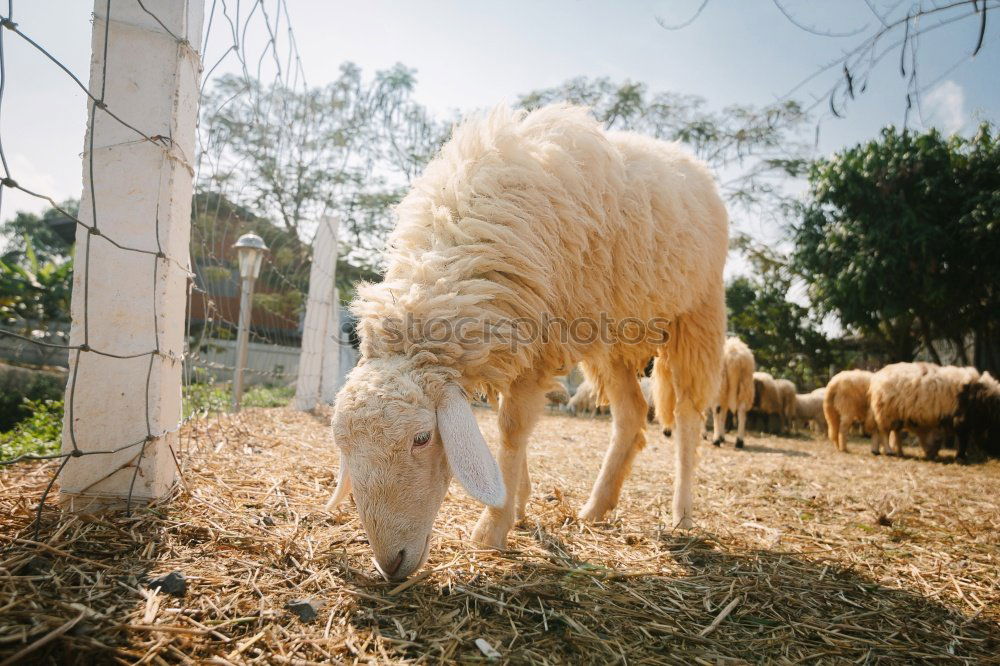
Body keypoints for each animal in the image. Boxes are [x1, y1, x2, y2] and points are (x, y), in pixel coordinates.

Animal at [328, 102, 728, 576]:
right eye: (344, 445)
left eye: (422, 438)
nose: (391, 564)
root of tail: (690, 162)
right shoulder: (514, 332)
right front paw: (516, 503)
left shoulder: (540, 340)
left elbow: (512, 429)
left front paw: (492, 529)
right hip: (610, 333)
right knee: (632, 413)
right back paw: (596, 508)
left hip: (697, 313)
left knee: (687, 417)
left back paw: (681, 513)